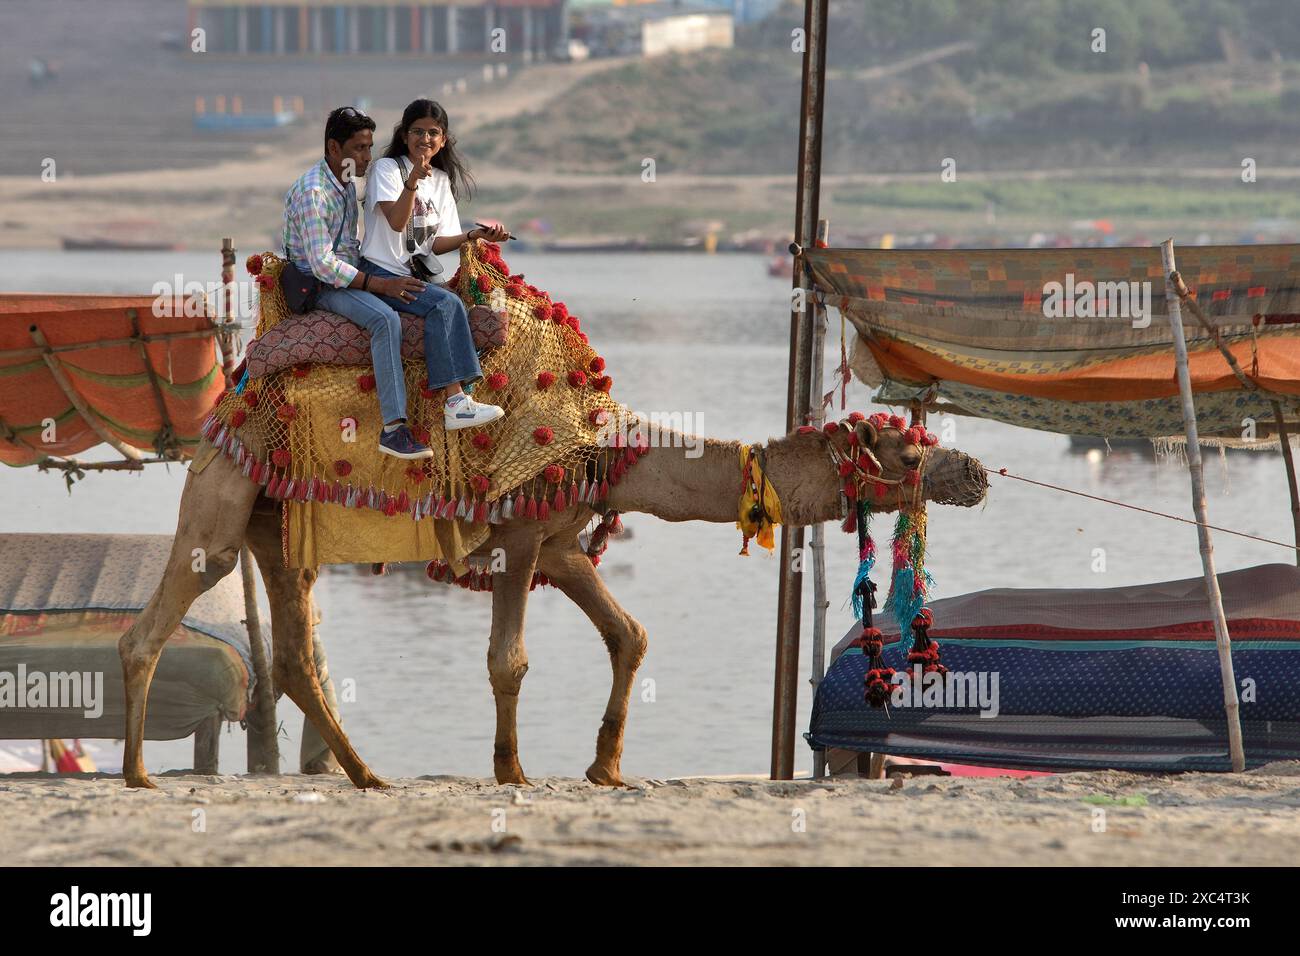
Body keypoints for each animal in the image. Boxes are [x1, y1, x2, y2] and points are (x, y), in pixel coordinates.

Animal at [119, 416, 982, 790]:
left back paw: (365, 775)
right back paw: (136, 774)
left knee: (296, 657)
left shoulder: (564, 547)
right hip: (225, 503)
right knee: (160, 617)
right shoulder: (520, 536)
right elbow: (509, 659)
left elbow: (630, 635)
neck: (607, 450)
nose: (973, 471)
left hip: (278, 530)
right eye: (908, 449)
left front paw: (606, 766)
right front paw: (512, 770)